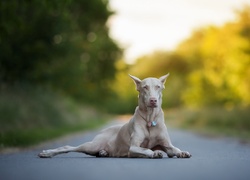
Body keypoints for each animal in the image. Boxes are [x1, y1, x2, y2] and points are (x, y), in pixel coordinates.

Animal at [38, 74, 191, 158]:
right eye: (145, 87)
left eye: (158, 87)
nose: (153, 100)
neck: (150, 118)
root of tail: (104, 130)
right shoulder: (133, 147)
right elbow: (145, 149)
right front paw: (155, 153)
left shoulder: (167, 145)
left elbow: (174, 150)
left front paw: (182, 152)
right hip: (92, 145)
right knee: (68, 147)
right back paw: (46, 153)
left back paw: (103, 153)